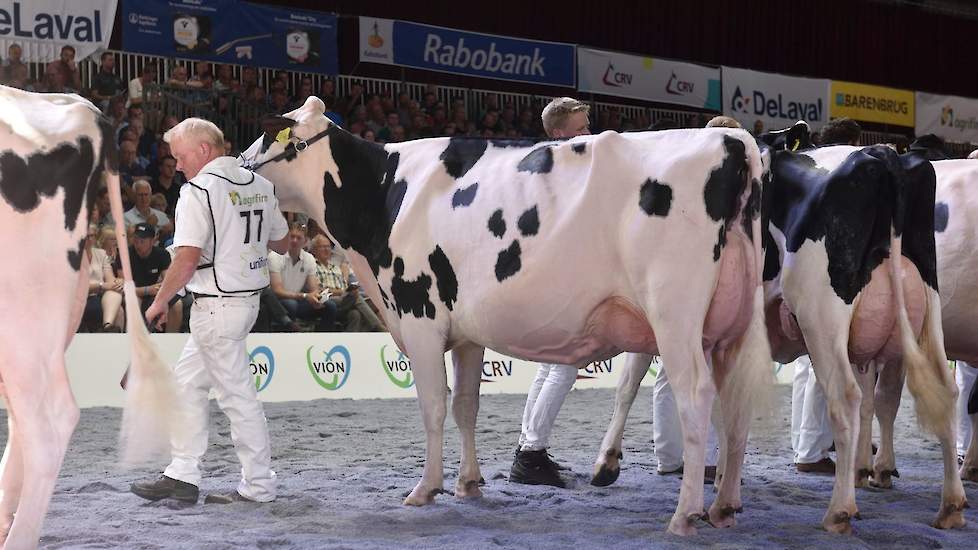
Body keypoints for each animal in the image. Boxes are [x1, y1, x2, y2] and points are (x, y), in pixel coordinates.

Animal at [242, 97, 772, 536]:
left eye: (267, 135)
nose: (239, 165)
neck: (382, 192)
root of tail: (734, 142)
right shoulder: (466, 333)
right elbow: (466, 406)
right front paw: (469, 483)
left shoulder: (419, 317)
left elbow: (433, 407)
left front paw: (426, 488)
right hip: (731, 324)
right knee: (733, 401)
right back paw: (725, 504)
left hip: (674, 312)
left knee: (696, 396)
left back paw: (685, 514)